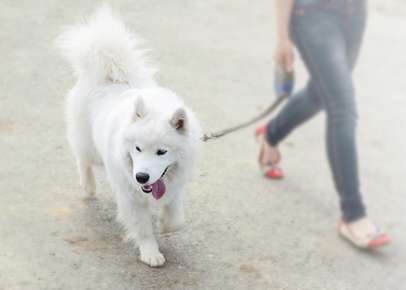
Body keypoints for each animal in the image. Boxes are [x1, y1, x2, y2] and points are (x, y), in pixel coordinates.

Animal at [56, 5, 200, 268]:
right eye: (137, 149)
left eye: (162, 152)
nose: (141, 177)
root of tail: (109, 76)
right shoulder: (130, 197)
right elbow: (142, 228)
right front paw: (151, 253)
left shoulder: (175, 186)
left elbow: (176, 218)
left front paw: (165, 225)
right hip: (91, 147)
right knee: (83, 158)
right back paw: (88, 186)